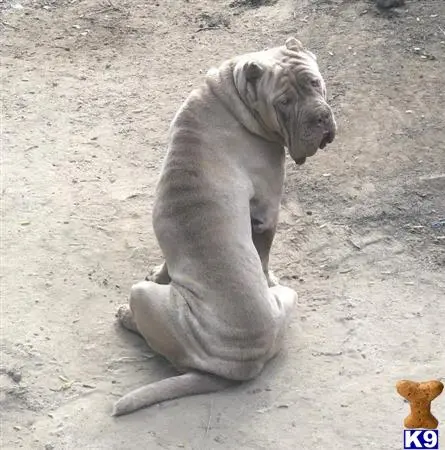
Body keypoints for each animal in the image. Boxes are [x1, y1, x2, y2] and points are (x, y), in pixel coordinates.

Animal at [112, 37, 334, 416]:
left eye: (315, 82)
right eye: (284, 102)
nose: (320, 117)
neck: (232, 96)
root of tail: (242, 366)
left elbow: (168, 260)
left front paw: (160, 270)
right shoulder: (267, 210)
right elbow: (264, 256)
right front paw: (267, 274)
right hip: (144, 296)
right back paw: (127, 316)